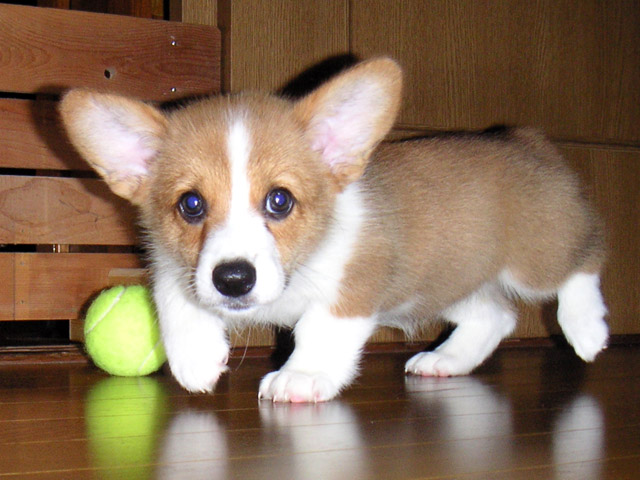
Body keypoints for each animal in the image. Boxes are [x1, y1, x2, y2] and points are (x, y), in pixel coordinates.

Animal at [60, 58, 608, 402]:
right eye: (191, 205)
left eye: (280, 200)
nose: (233, 280)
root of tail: (527, 139)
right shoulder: (177, 265)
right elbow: (174, 296)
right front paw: (195, 357)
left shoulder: (356, 284)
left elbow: (319, 330)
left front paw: (301, 377)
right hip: (440, 283)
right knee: (496, 316)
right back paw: (446, 360)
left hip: (535, 258)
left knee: (584, 257)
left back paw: (586, 328)